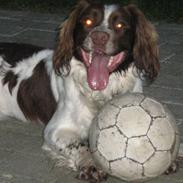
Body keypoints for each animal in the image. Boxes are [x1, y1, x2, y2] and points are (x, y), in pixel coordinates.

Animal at [0, 0, 160, 182]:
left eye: (120, 25)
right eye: (88, 22)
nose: (99, 37)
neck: (101, 92)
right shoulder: (56, 129)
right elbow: (81, 146)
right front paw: (91, 165)